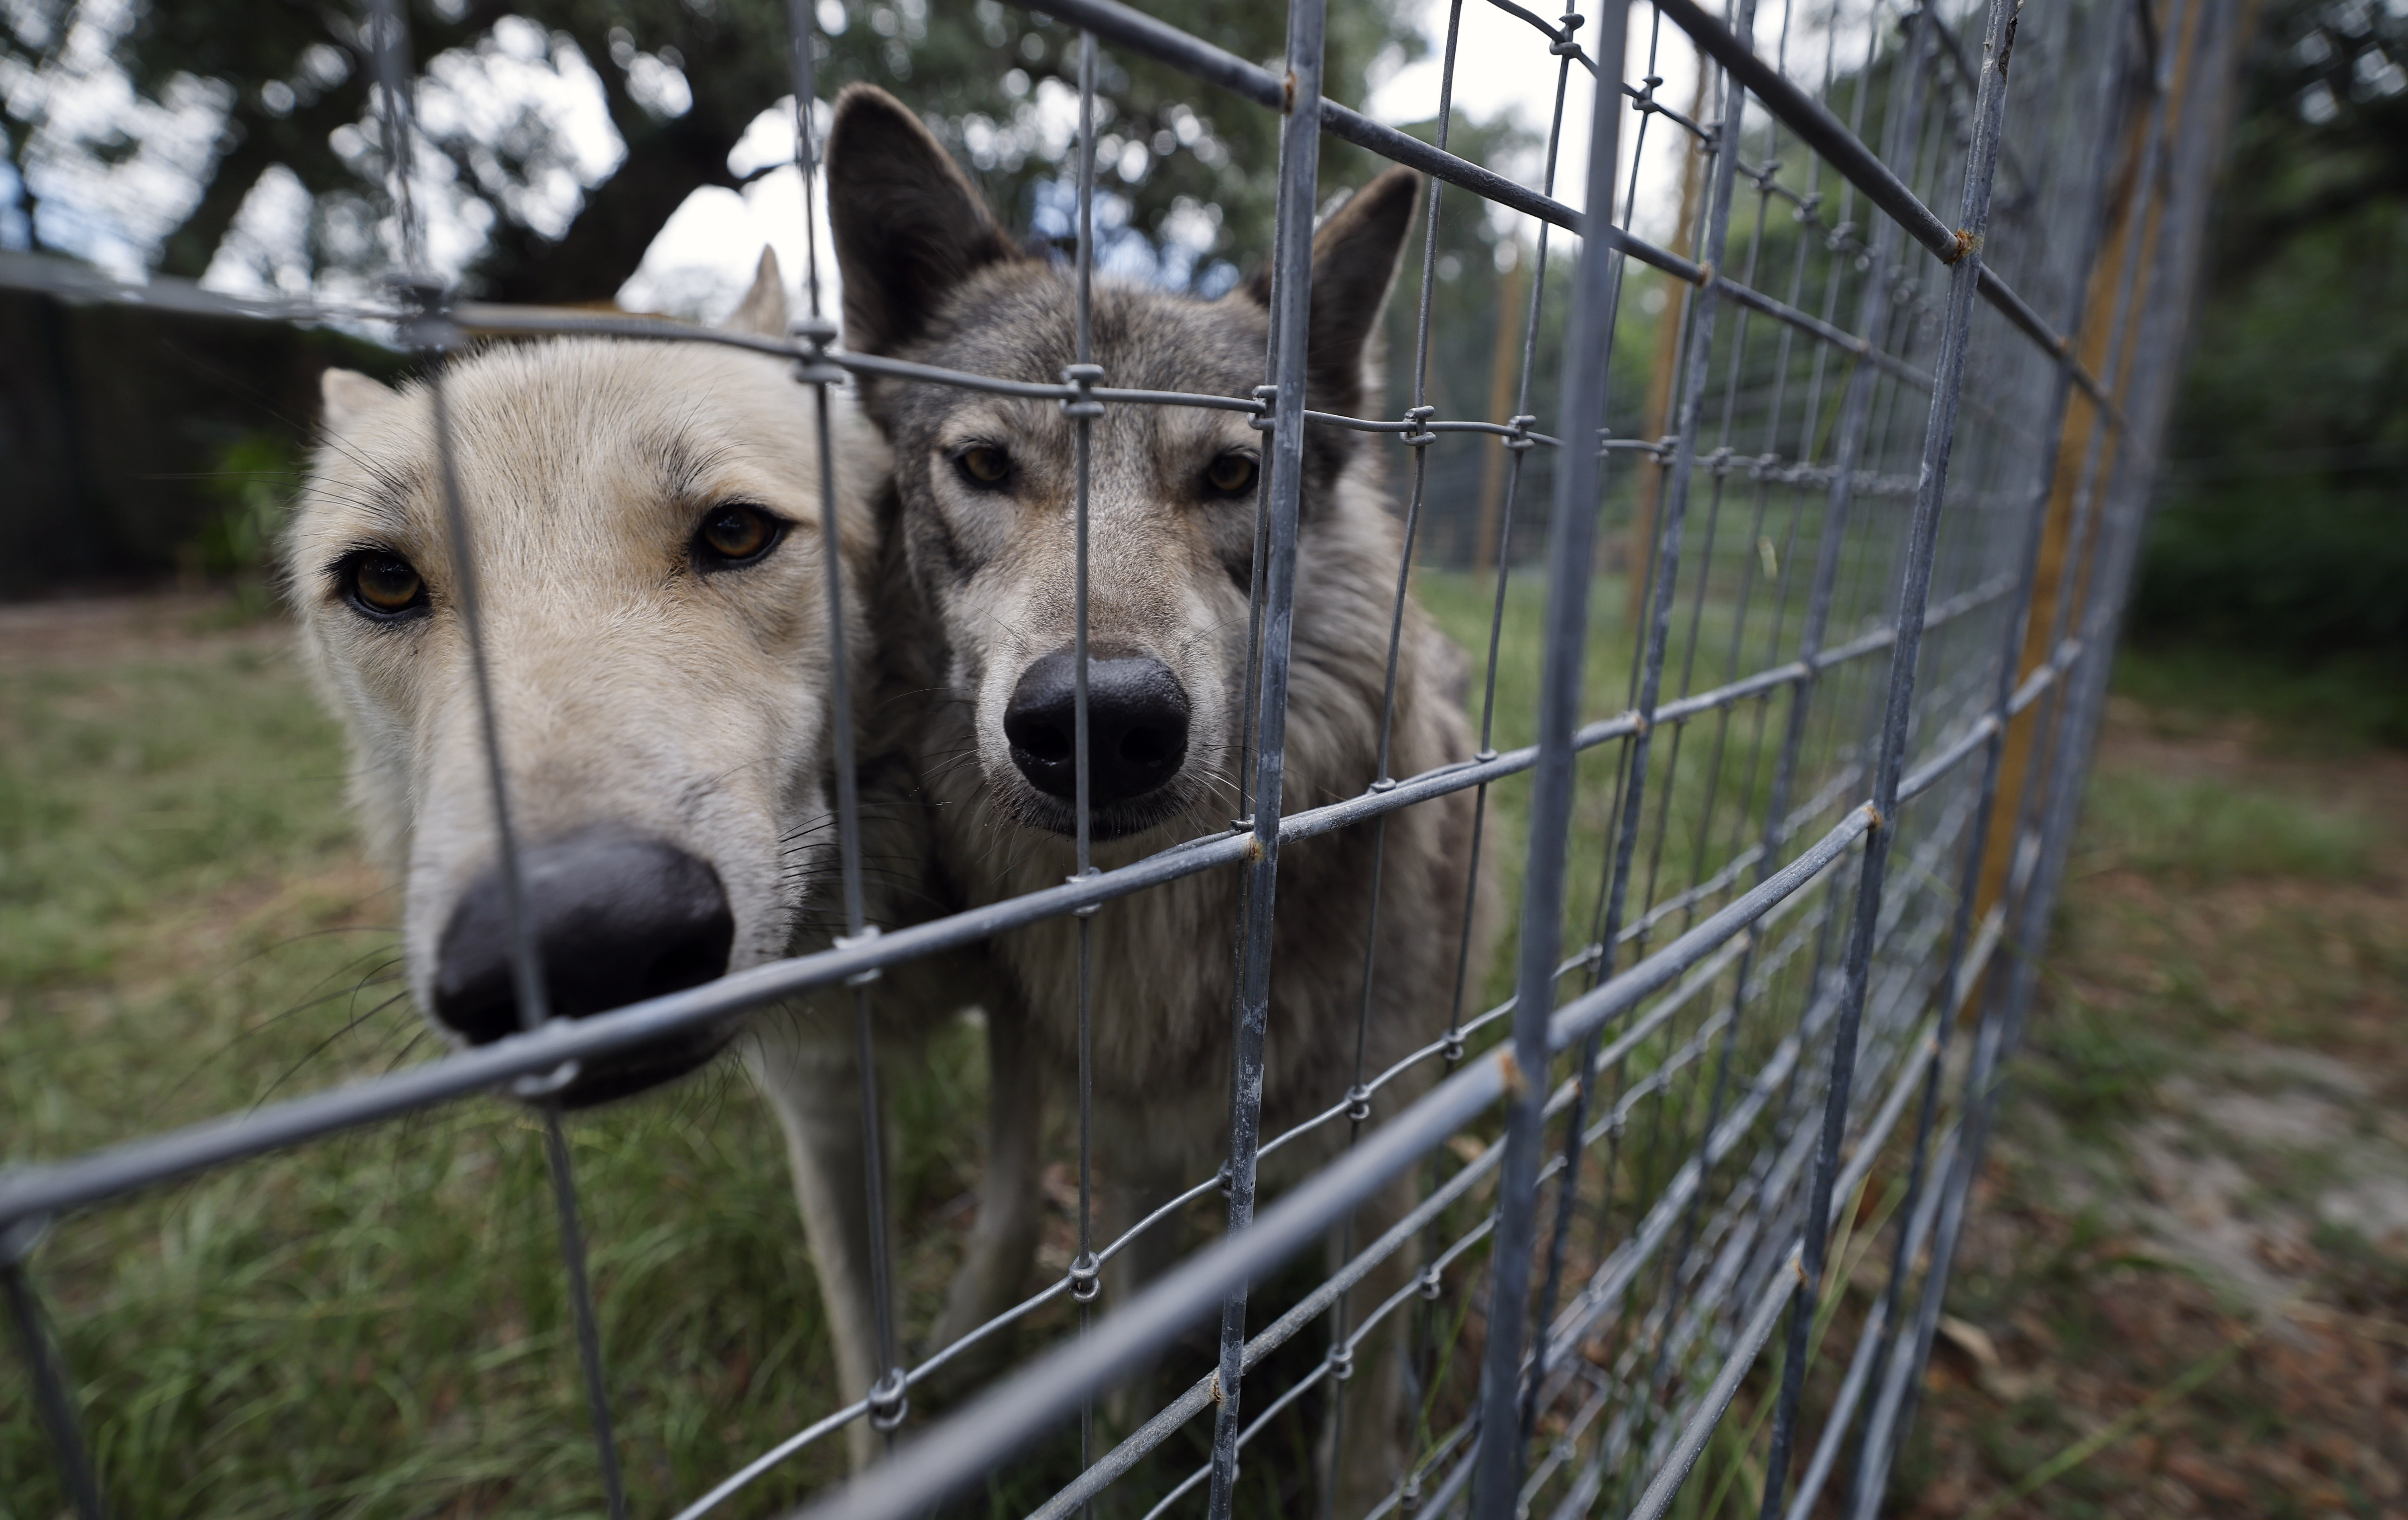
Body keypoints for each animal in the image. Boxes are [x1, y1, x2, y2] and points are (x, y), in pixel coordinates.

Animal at [288, 259, 1035, 1470]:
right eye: (384, 584)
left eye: (734, 532)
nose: (582, 949)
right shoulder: (822, 1098)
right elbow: (865, 1361)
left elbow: (1012, 1223)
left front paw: (979, 1363)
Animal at [826, 86, 1498, 1510]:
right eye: (984, 463)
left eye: (1234, 476)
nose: (1103, 721)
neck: (1167, 935)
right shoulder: (1127, 1153)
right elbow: (1133, 1382)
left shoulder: (1369, 1160)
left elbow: (1360, 1423)